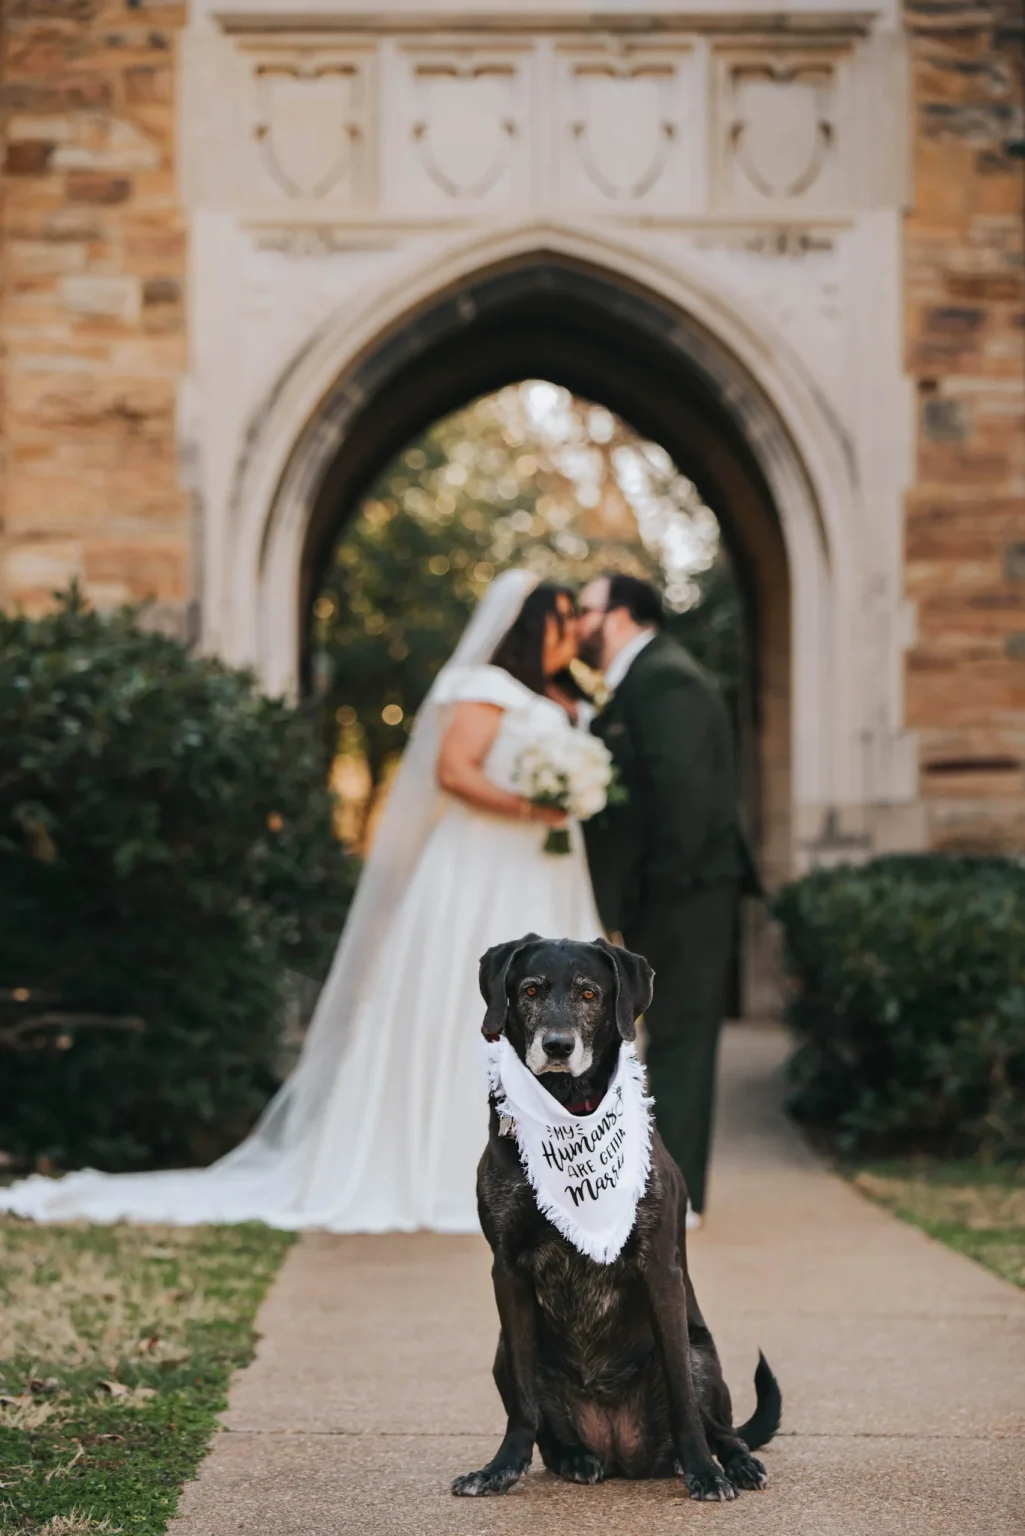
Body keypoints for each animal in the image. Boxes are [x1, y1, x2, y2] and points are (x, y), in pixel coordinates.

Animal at [451, 933, 780, 1499]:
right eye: (530, 990)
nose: (558, 1046)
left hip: (703, 1354)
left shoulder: (660, 1268)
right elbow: (523, 1404)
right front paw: (500, 1469)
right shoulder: (507, 1269)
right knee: (547, 1428)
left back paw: (733, 1464)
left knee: (722, 1426)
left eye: (590, 994)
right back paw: (576, 1458)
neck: (568, 1107)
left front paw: (704, 1471)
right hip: (502, 1353)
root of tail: (625, 1454)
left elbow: (682, 1394)